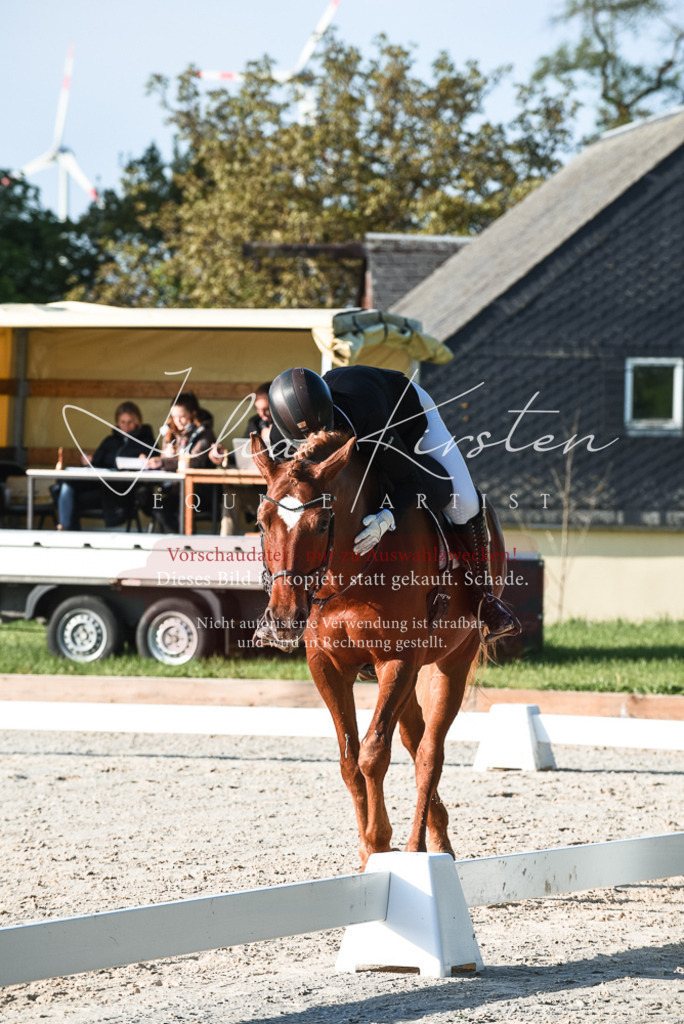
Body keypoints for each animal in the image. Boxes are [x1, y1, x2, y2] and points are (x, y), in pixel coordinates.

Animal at [251, 429, 507, 868]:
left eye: (322, 522)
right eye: (262, 521)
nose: (283, 618)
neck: (349, 575)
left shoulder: (397, 660)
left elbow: (372, 753)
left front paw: (380, 842)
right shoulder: (327, 666)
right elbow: (349, 760)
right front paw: (370, 848)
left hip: (452, 660)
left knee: (429, 753)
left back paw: (420, 848)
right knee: (414, 739)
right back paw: (439, 835)